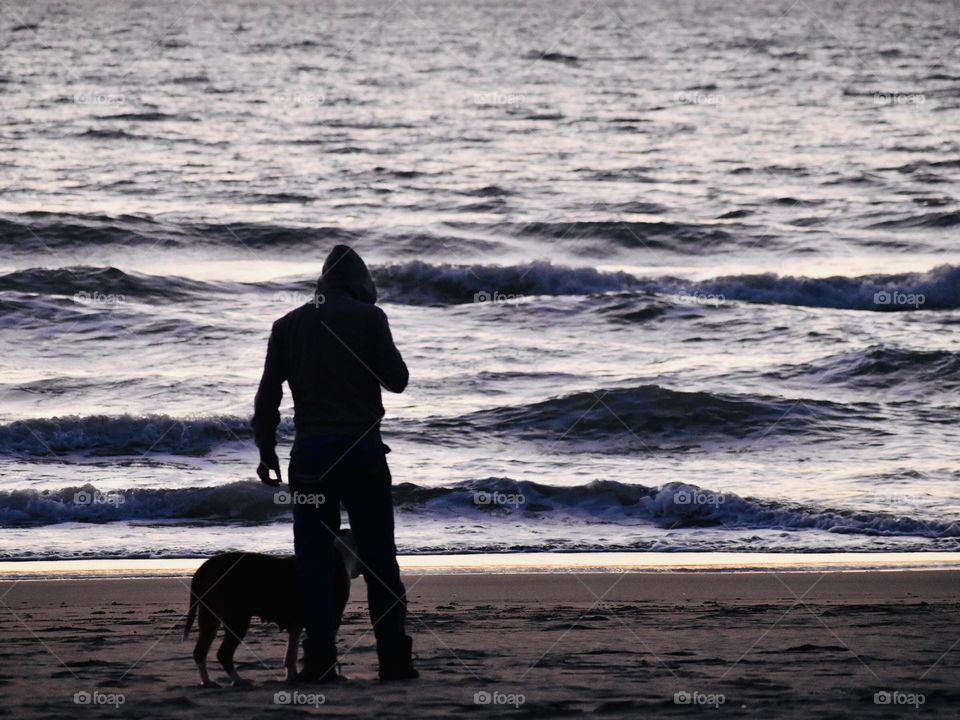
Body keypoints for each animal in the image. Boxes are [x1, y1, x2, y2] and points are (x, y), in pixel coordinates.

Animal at [183, 532, 356, 684]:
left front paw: (292, 677)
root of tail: (205, 566)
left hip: (209, 616)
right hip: (237, 619)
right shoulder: (332, 619)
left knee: (200, 651)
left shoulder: (296, 624)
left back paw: (207, 681)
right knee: (223, 653)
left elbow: (291, 653)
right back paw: (238, 681)